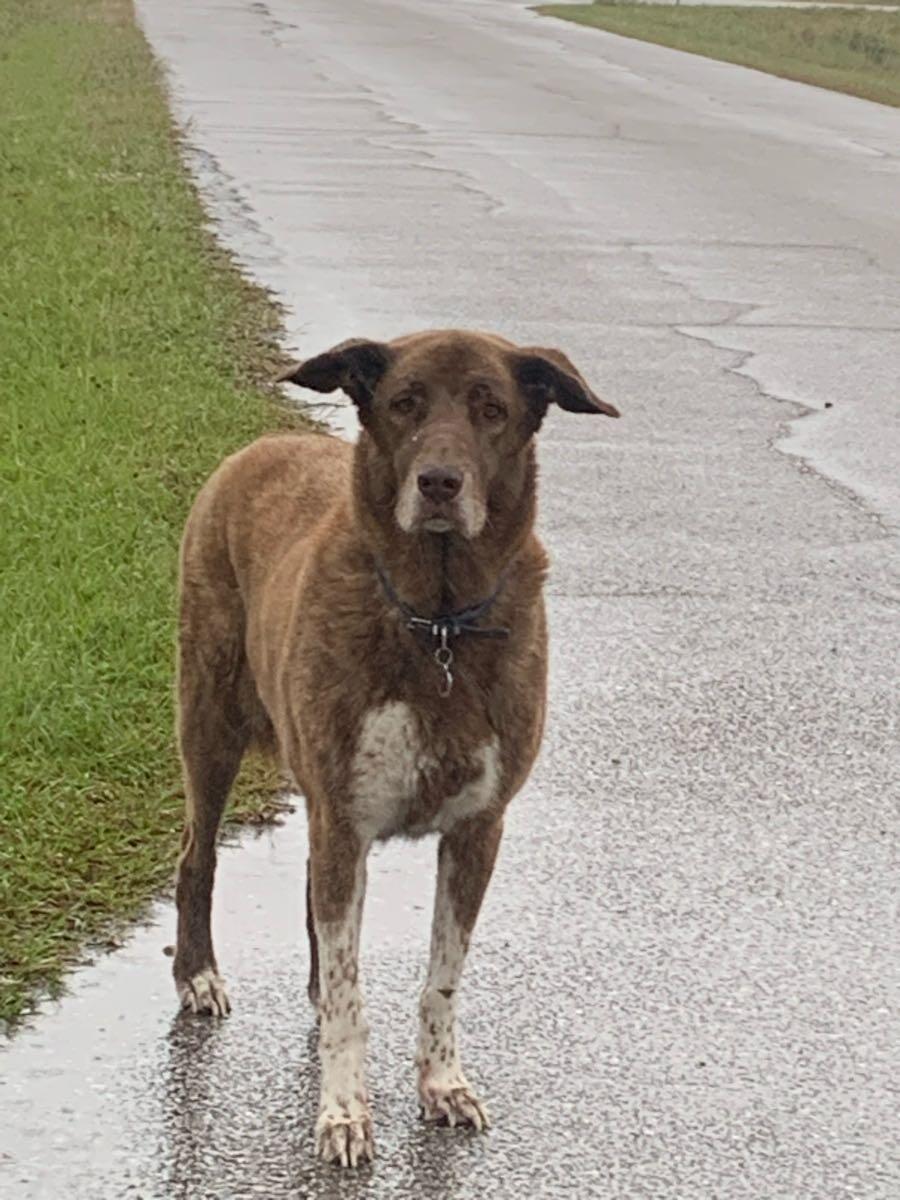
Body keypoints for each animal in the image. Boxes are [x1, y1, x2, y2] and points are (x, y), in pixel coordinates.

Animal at [170, 326, 619, 1161]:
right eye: (405, 402)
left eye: (491, 408)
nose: (440, 482)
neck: (437, 621)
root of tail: (260, 446)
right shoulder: (345, 817)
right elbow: (352, 994)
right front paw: (344, 1111)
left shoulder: (476, 828)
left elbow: (440, 977)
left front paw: (442, 1086)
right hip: (208, 716)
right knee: (197, 857)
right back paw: (198, 975)